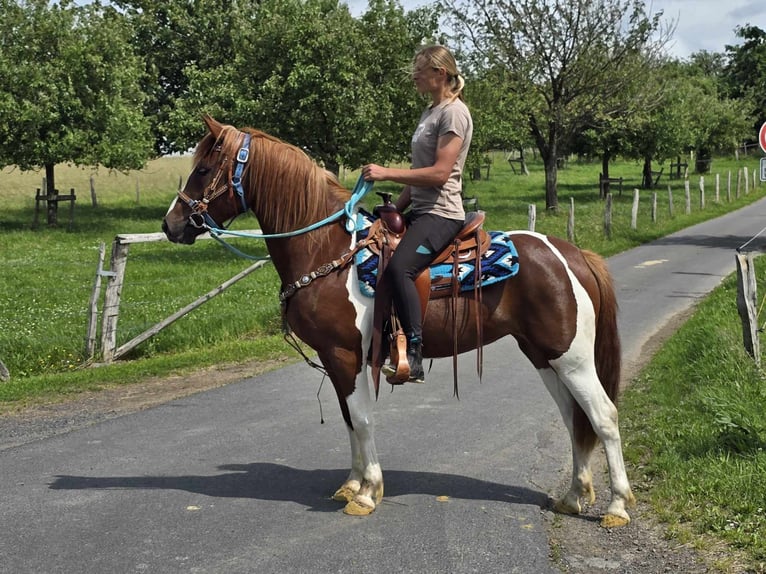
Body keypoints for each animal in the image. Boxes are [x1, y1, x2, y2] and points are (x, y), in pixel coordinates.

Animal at [162, 115, 635, 527]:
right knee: (574, 417)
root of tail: (573, 254)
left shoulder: (344, 354)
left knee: (603, 416)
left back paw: (617, 506)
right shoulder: (336, 358)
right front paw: (351, 484)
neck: (325, 249)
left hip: (571, 357)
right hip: (543, 355)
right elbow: (348, 419)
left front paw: (368, 492)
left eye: (203, 169)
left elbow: (363, 419)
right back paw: (573, 496)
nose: (171, 225)